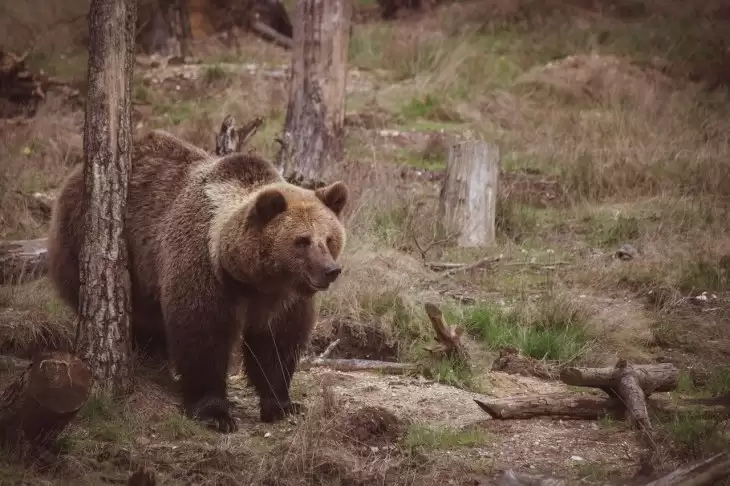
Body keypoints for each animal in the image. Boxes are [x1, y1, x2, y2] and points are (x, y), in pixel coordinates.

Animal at [47, 129, 348, 432]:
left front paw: (282, 404)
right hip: (91, 243)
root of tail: (74, 175)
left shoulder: (283, 299)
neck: (251, 278)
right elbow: (202, 335)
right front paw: (215, 412)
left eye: (329, 238)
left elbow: (276, 344)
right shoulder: (204, 269)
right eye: (302, 241)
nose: (330, 270)